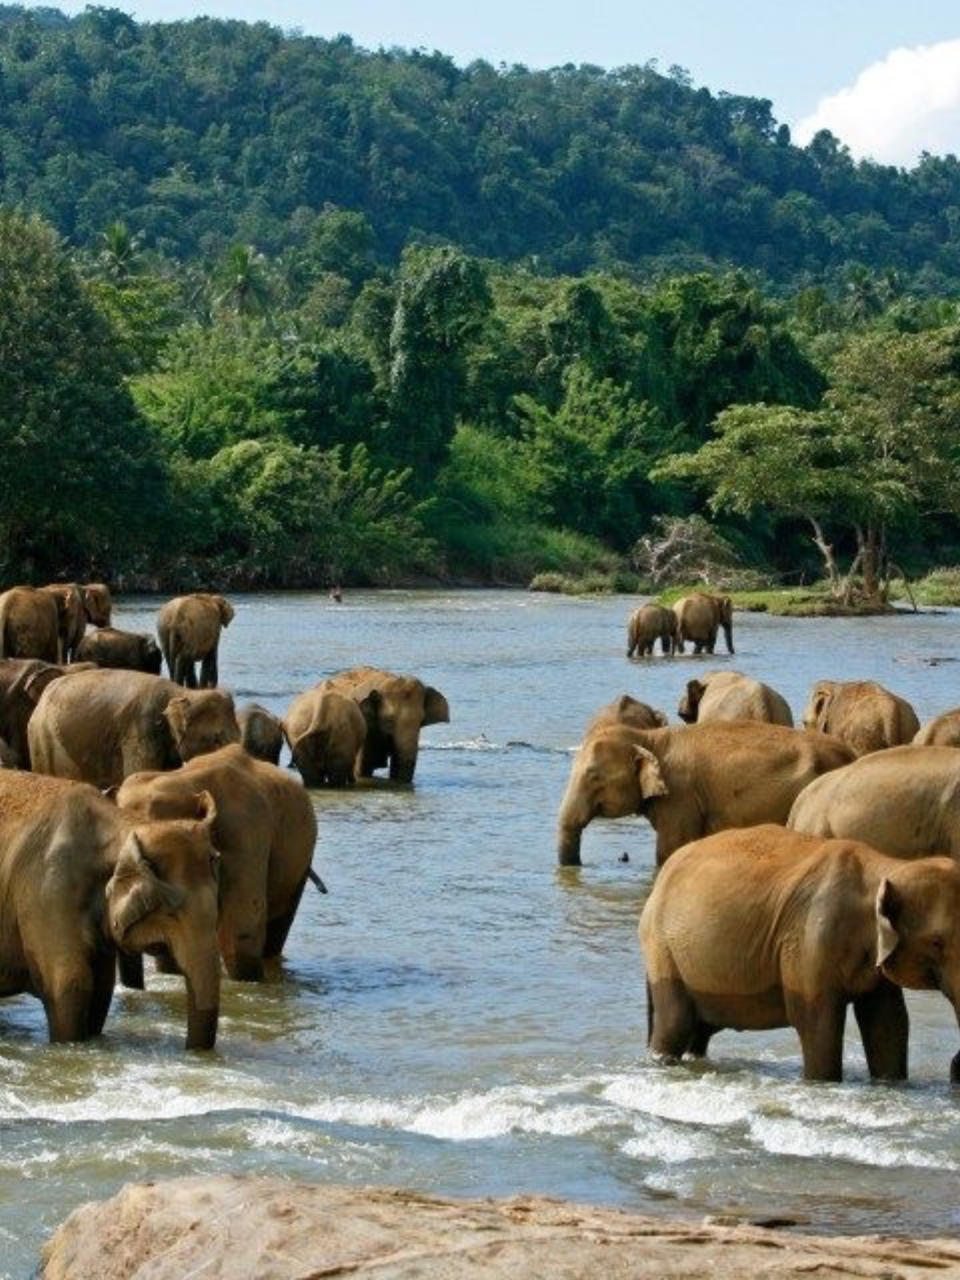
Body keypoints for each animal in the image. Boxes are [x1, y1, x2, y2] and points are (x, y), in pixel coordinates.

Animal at [556, 719, 854, 866]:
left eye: (594, 777)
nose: (576, 867)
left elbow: (669, 850)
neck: (648, 737)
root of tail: (851, 754)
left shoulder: (680, 795)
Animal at [641, 823, 960, 1083]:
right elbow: (817, 1024)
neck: (887, 866)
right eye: (936, 943)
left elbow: (888, 1025)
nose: (955, 1066)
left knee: (700, 1029)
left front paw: (890, 1083)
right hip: (661, 946)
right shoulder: (809, 938)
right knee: (675, 1022)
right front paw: (822, 1083)